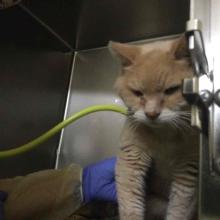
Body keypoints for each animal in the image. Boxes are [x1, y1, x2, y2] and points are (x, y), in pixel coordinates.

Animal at [109, 36, 199, 220]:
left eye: (171, 90)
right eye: (137, 93)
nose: (151, 114)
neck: (164, 135)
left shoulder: (188, 170)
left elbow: (179, 210)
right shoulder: (130, 160)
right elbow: (130, 205)